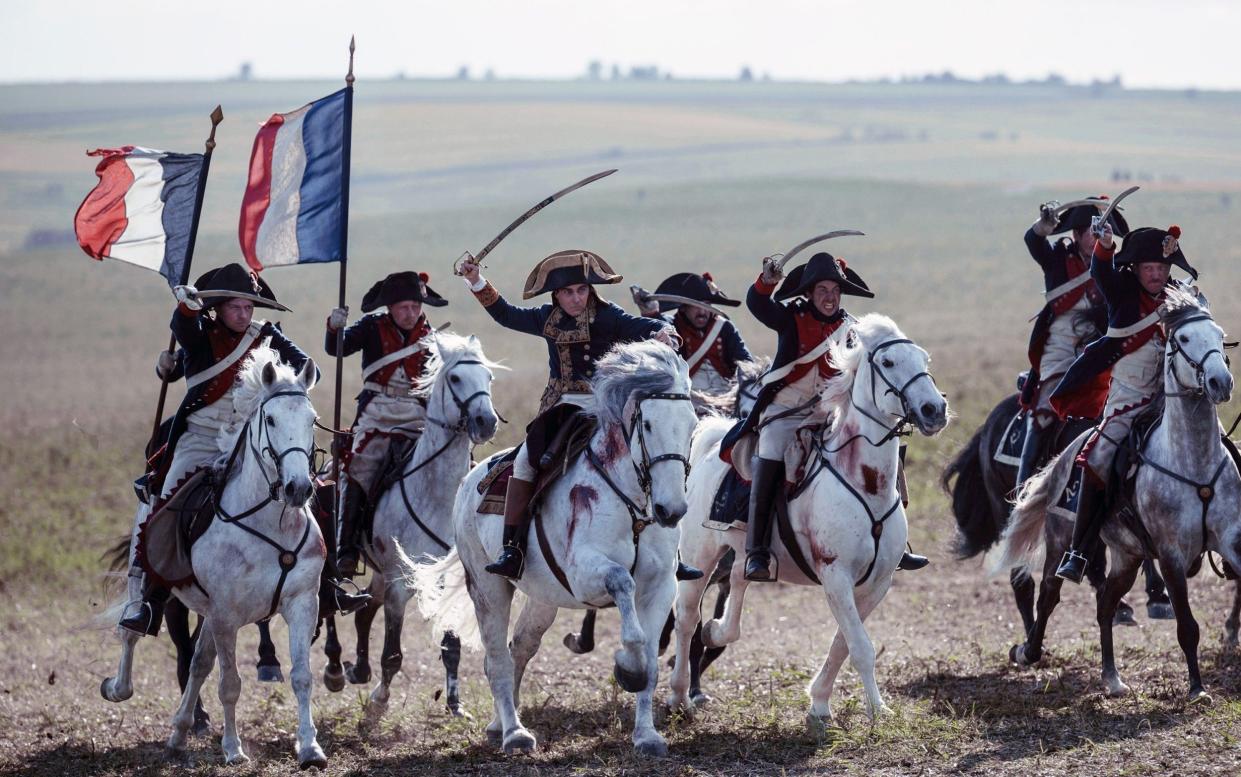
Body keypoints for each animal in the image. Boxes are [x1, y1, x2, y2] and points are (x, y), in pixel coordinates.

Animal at [103, 347, 330, 764]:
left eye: (313, 420)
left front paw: (309, 747)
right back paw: (117, 687)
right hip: (148, 584)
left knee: (198, 663)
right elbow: (230, 683)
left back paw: (180, 731)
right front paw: (233, 749)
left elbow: (302, 677)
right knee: (132, 634)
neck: (268, 524)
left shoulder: (302, 603)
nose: (298, 488)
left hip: (207, 612)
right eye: (270, 419)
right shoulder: (227, 616)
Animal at [325, 327, 508, 724]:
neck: (435, 492)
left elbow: (451, 645)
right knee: (333, 605)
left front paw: (455, 704)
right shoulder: (399, 583)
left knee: (365, 611)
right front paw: (378, 704)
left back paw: (358, 670)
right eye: (455, 378)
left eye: (488, 377)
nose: (486, 422)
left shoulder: (446, 580)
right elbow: (392, 653)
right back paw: (335, 669)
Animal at [416, 342, 699, 754]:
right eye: (647, 425)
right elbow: (623, 587)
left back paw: (498, 724)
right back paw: (514, 733)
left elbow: (649, 655)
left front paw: (647, 735)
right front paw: (627, 668)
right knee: (497, 659)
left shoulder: (661, 586)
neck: (631, 501)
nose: (671, 509)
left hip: (542, 598)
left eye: (692, 425)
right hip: (488, 589)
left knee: (519, 647)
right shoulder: (584, 575)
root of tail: (470, 480)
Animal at [670, 312, 948, 724]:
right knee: (687, 618)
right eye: (887, 362)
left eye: (924, 360)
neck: (864, 482)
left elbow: (842, 644)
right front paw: (877, 710)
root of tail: (709, 445)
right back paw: (678, 696)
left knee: (737, 578)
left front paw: (819, 703)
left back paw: (718, 632)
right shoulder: (836, 576)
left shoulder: (877, 583)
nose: (934, 409)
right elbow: (860, 647)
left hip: (744, 553)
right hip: (698, 558)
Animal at [997, 287, 1241, 700]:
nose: (1220, 382)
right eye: (1184, 338)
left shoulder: (1231, 541)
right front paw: (1196, 688)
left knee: (1106, 604)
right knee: (1049, 594)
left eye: (1219, 334)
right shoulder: (1172, 556)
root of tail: (1066, 456)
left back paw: (1111, 676)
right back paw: (1029, 651)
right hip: (1061, 542)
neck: (1194, 463)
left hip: (1127, 556)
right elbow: (1187, 626)